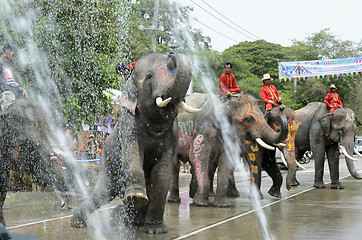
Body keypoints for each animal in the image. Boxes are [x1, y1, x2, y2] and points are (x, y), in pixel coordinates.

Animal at [69, 53, 199, 234]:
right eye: (149, 76)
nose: (172, 55)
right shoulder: (128, 125)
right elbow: (133, 154)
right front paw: (136, 198)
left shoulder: (173, 133)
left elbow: (163, 171)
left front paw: (156, 230)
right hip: (106, 162)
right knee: (102, 193)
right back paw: (79, 223)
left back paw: (131, 220)